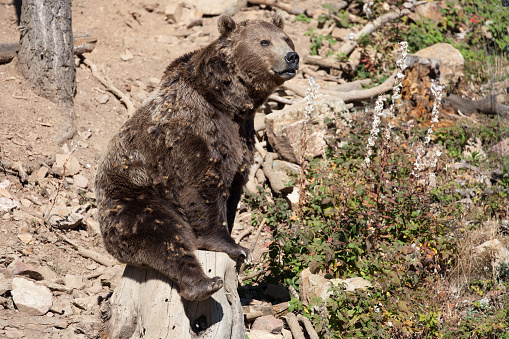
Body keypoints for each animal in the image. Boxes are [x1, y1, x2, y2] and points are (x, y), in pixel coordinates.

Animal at [94, 11, 298, 302]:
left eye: (286, 38)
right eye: (264, 42)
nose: (292, 57)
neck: (229, 102)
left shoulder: (242, 134)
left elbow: (234, 186)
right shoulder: (193, 129)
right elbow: (203, 185)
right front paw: (235, 246)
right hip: (134, 200)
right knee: (162, 236)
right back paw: (203, 284)